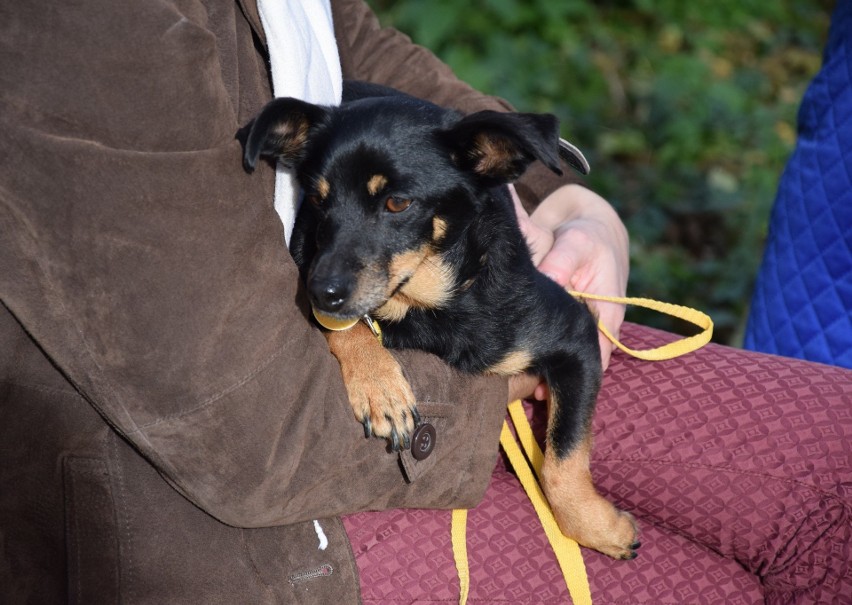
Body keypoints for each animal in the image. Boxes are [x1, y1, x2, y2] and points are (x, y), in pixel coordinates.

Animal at [240, 82, 640, 560]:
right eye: (317, 199)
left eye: (397, 202)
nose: (320, 292)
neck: (424, 303)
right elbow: (347, 327)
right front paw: (379, 385)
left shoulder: (575, 335)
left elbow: (564, 457)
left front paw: (598, 528)